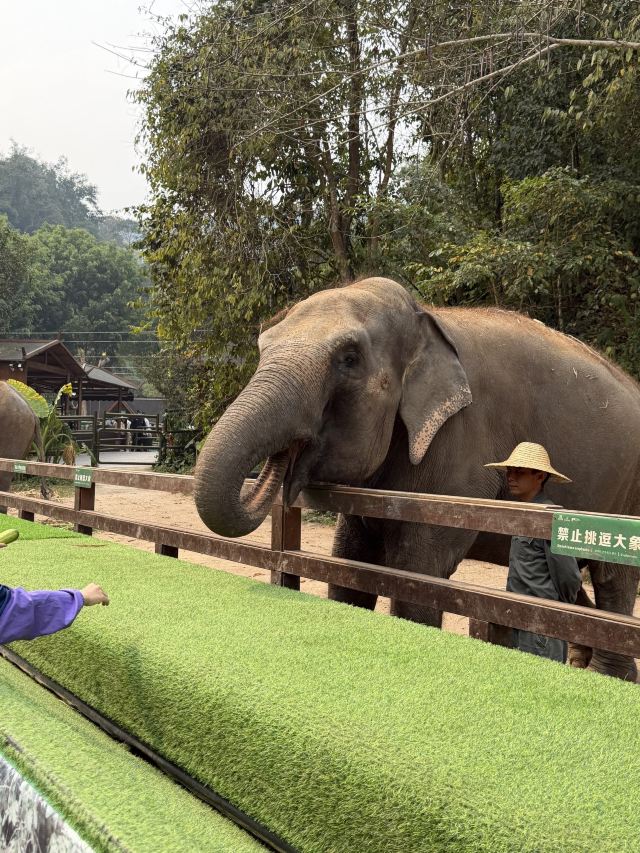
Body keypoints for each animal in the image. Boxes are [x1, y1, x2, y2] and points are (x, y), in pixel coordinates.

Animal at [194, 277, 640, 681]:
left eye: (349, 359)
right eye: (262, 347)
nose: (282, 466)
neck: (426, 318)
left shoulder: (461, 443)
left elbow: (418, 575)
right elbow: (349, 564)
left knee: (614, 580)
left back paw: (606, 676)